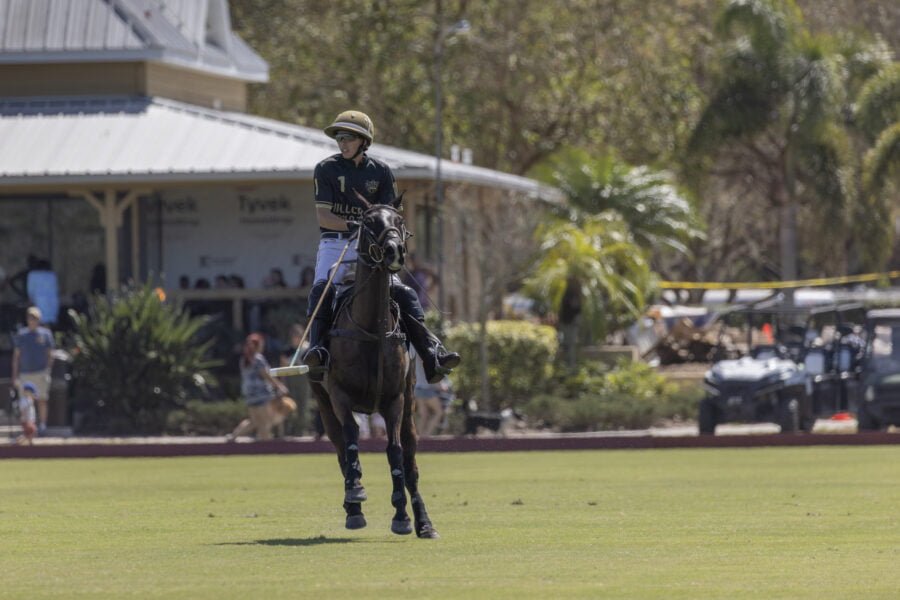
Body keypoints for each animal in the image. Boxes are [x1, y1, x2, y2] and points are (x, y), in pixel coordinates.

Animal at [308, 198, 438, 540]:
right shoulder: (338, 395)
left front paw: (402, 515)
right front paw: (356, 493)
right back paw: (352, 506)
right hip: (324, 406)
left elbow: (395, 451)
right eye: (368, 222)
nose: (395, 251)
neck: (371, 329)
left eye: (398, 220)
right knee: (341, 449)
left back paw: (424, 522)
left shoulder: (394, 399)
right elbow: (352, 438)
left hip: (410, 406)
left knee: (410, 459)